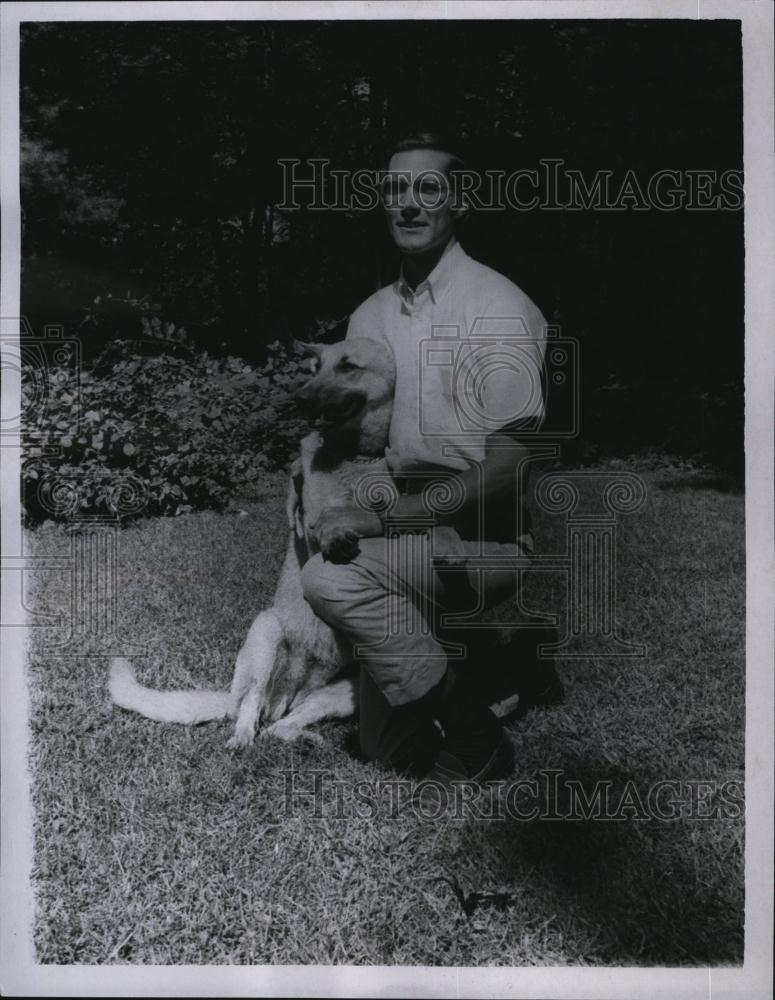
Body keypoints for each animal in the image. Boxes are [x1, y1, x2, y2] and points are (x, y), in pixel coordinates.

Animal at [109, 340, 398, 748]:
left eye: (348, 366)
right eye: (315, 368)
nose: (299, 399)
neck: (354, 458)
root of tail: (290, 694)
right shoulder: (311, 519)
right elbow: (326, 520)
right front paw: (337, 534)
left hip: (346, 689)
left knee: (283, 724)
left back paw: (302, 738)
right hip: (267, 634)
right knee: (250, 707)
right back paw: (243, 738)